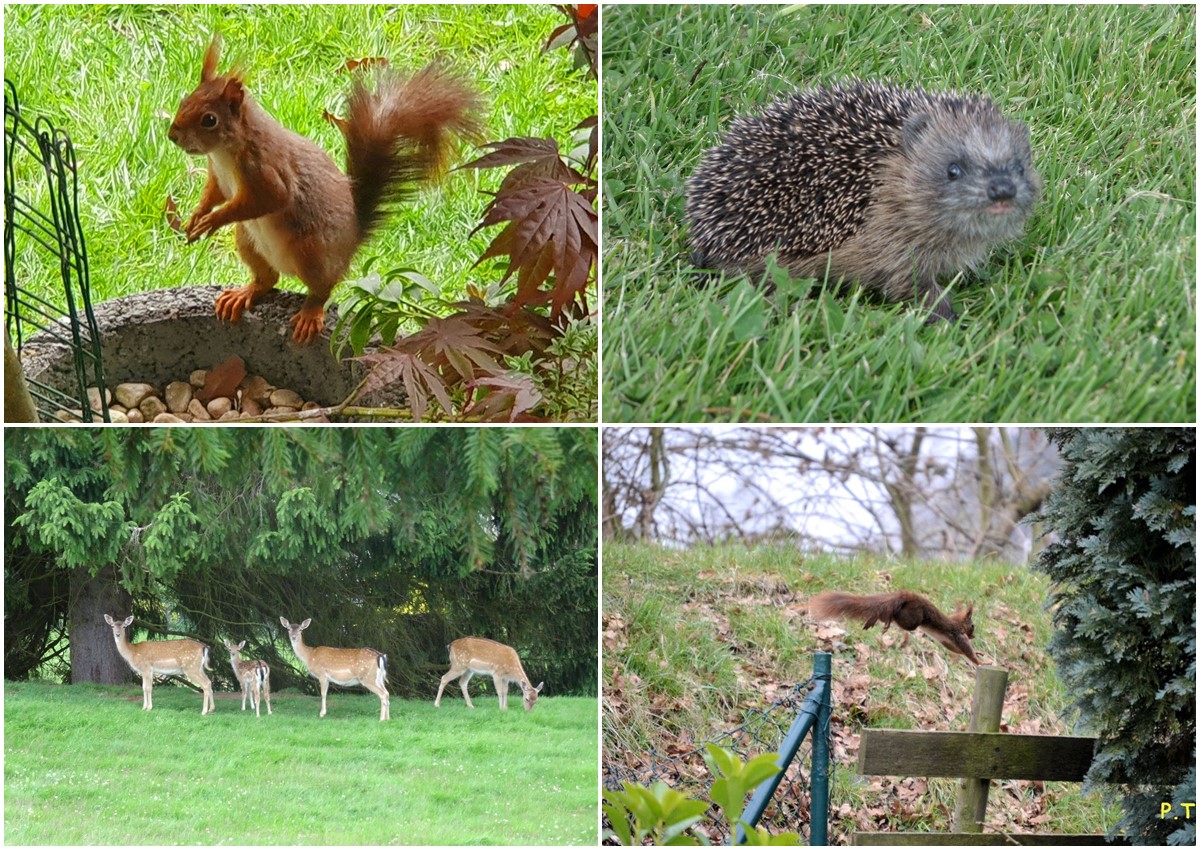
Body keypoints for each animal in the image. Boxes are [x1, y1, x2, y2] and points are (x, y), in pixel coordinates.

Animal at [165, 36, 482, 340]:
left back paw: (310, 312)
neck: (224, 152)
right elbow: (214, 193)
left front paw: (213, 220)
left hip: (312, 252)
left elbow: (269, 199)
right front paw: (197, 217)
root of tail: (352, 242)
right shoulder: (218, 176)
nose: (172, 136)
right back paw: (246, 292)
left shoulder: (266, 170)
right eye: (184, 101)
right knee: (269, 279)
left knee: (323, 288)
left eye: (209, 120)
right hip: (248, 241)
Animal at [811, 590, 979, 662]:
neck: (958, 622)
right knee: (897, 618)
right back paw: (887, 621)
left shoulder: (948, 641)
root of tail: (904, 596)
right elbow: (967, 651)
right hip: (913, 620)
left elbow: (956, 650)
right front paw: (981, 661)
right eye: (972, 626)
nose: (974, 636)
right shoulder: (958, 635)